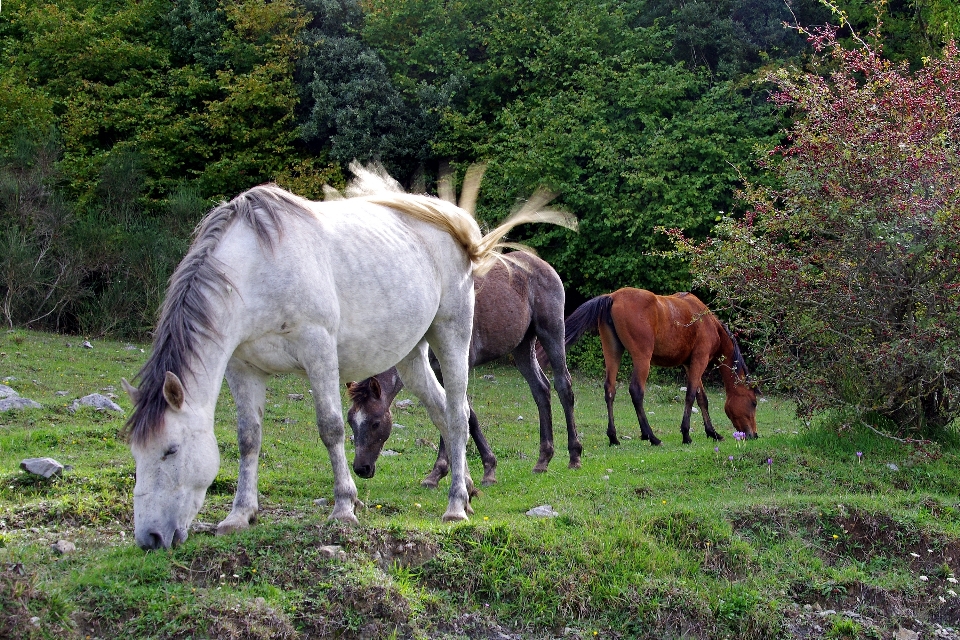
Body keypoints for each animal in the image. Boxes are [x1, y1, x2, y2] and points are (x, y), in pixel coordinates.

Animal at [348, 250, 580, 484]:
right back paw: (543, 459)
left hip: (551, 332)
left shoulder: (460, 366)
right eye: (350, 421)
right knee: (540, 390)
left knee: (563, 386)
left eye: (376, 422)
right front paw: (443, 472)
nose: (361, 468)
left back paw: (574, 456)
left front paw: (481, 469)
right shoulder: (438, 371)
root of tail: (540, 263)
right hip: (522, 347)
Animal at [564, 288, 756, 444]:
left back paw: (614, 437)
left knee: (610, 390)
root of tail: (613, 297)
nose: (754, 434)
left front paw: (713, 433)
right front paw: (686, 435)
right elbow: (690, 396)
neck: (708, 323)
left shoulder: (690, 365)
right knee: (636, 391)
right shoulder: (699, 361)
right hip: (642, 358)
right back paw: (651, 437)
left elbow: (702, 398)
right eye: (754, 403)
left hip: (612, 351)